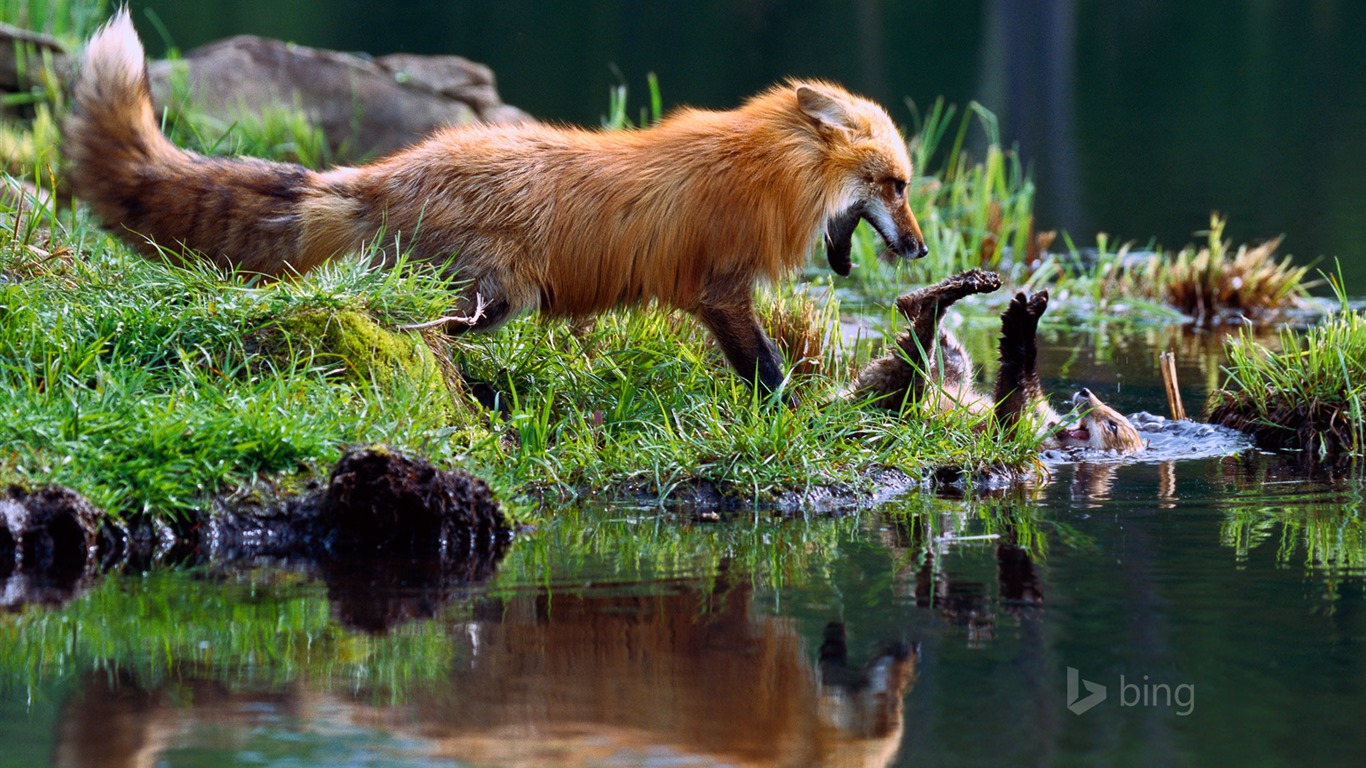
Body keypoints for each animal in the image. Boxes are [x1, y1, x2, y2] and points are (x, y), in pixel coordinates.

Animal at [61, 10, 928, 401]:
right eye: (896, 184)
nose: (921, 251)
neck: (769, 171)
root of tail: (386, 172)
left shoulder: (717, 295)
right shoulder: (720, 290)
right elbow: (769, 370)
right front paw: (797, 413)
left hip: (487, 300)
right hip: (489, 298)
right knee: (411, 327)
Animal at [846, 269, 1147, 450]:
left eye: (1112, 425)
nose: (1085, 392)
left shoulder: (1014, 434)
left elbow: (1009, 399)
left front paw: (1018, 328)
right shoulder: (1038, 410)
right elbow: (1030, 384)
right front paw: (1029, 314)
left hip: (898, 395)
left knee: (914, 357)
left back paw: (938, 300)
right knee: (945, 355)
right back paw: (929, 298)